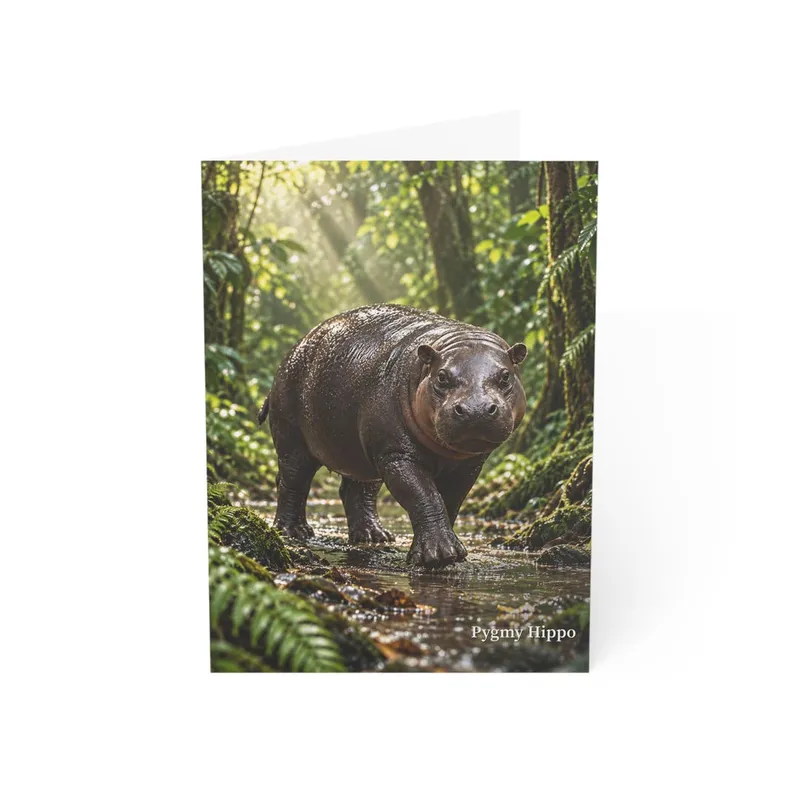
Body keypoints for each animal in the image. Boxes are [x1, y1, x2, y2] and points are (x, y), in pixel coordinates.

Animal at [257, 304, 527, 569]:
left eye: (506, 376)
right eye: (441, 376)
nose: (476, 409)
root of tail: (292, 352)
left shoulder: (469, 464)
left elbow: (450, 501)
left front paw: (453, 552)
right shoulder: (397, 454)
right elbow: (424, 496)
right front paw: (439, 556)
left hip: (361, 454)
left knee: (357, 489)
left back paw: (375, 537)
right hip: (293, 439)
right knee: (292, 481)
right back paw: (294, 532)